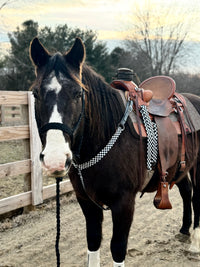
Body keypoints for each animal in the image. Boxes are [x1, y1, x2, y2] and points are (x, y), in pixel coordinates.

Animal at [28, 36, 200, 266]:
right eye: (36, 94)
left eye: (77, 93)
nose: (55, 159)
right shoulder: (87, 202)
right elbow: (93, 242)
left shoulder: (124, 203)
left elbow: (118, 249)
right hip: (178, 166)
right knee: (186, 191)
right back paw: (184, 229)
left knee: (197, 196)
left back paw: (195, 243)